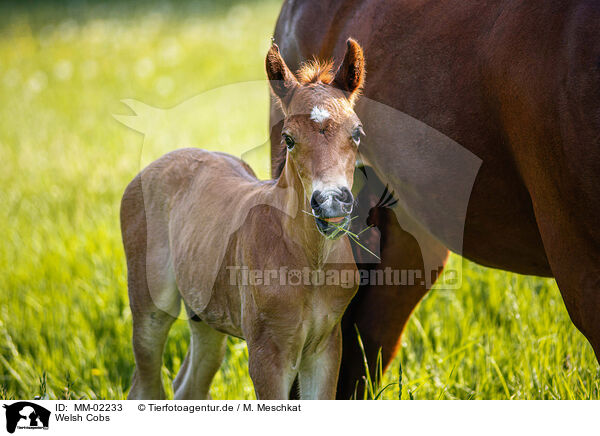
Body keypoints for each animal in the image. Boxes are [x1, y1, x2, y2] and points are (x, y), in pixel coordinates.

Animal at [121, 40, 366, 398]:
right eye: (288, 139)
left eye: (357, 133)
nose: (331, 203)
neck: (310, 262)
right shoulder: (267, 354)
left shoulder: (326, 347)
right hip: (151, 306)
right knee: (145, 386)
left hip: (205, 314)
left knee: (189, 386)